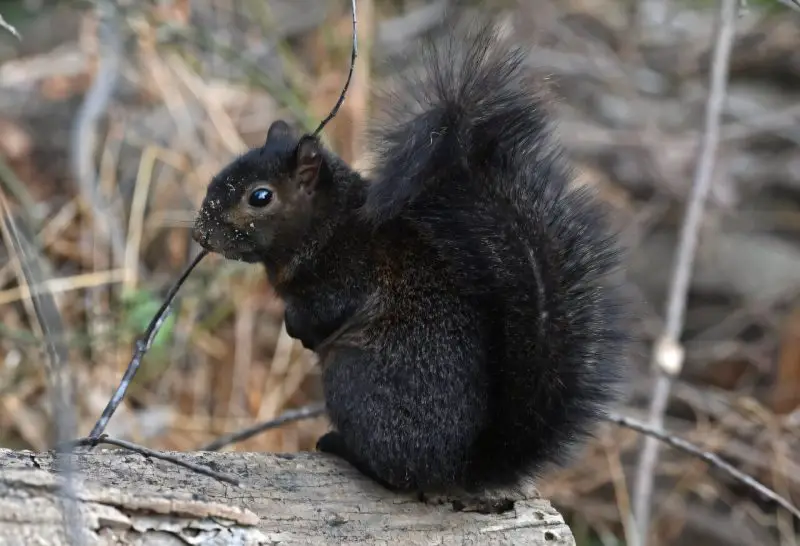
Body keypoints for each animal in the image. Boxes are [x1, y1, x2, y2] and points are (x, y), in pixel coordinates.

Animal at [192, 23, 629, 512]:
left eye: (261, 196)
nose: (200, 234)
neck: (325, 224)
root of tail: (459, 469)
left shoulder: (346, 275)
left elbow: (323, 311)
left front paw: (299, 329)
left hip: (352, 376)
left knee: (394, 474)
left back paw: (341, 447)